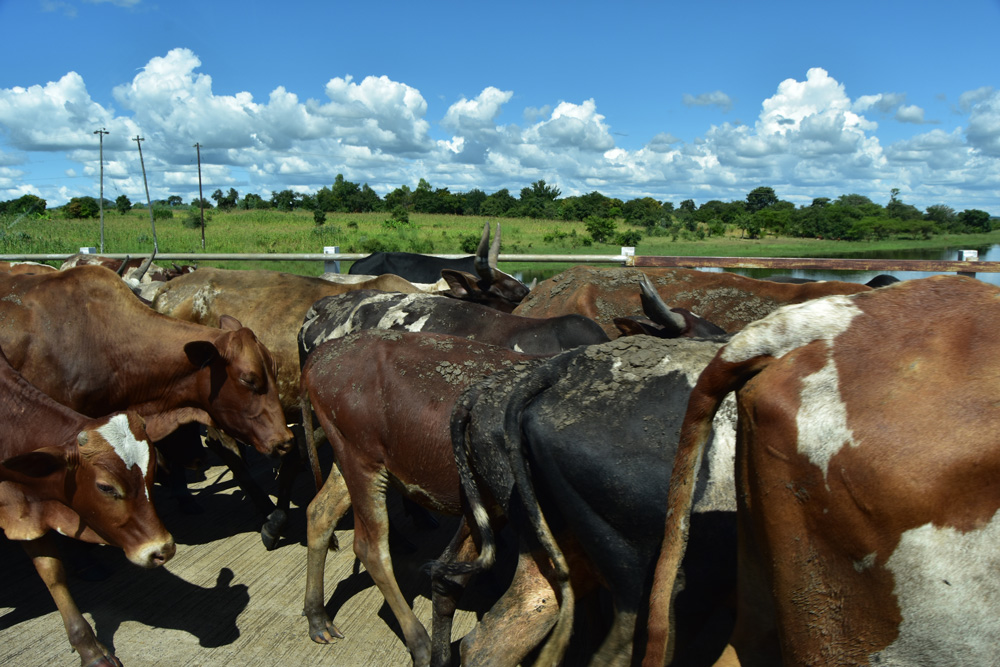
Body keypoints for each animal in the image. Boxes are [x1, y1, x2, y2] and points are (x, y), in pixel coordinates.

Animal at [0, 347, 175, 667]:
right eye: (106, 487)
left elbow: (52, 573)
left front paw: (90, 649)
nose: (163, 550)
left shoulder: (25, 508)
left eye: (152, 473)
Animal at [299, 329, 543, 666]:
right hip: (362, 462)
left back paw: (317, 617)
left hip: (348, 456)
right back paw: (419, 642)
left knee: (319, 512)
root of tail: (320, 354)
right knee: (370, 548)